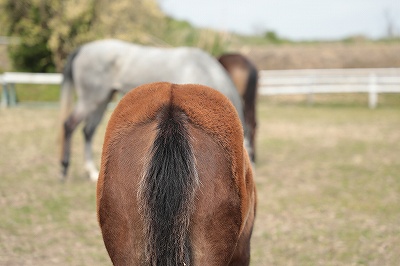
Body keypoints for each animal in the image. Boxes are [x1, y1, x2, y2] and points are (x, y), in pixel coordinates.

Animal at [59, 39, 250, 181]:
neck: (201, 69)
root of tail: (83, 49)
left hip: (102, 101)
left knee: (87, 131)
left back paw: (92, 172)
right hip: (91, 99)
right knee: (69, 125)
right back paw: (64, 170)